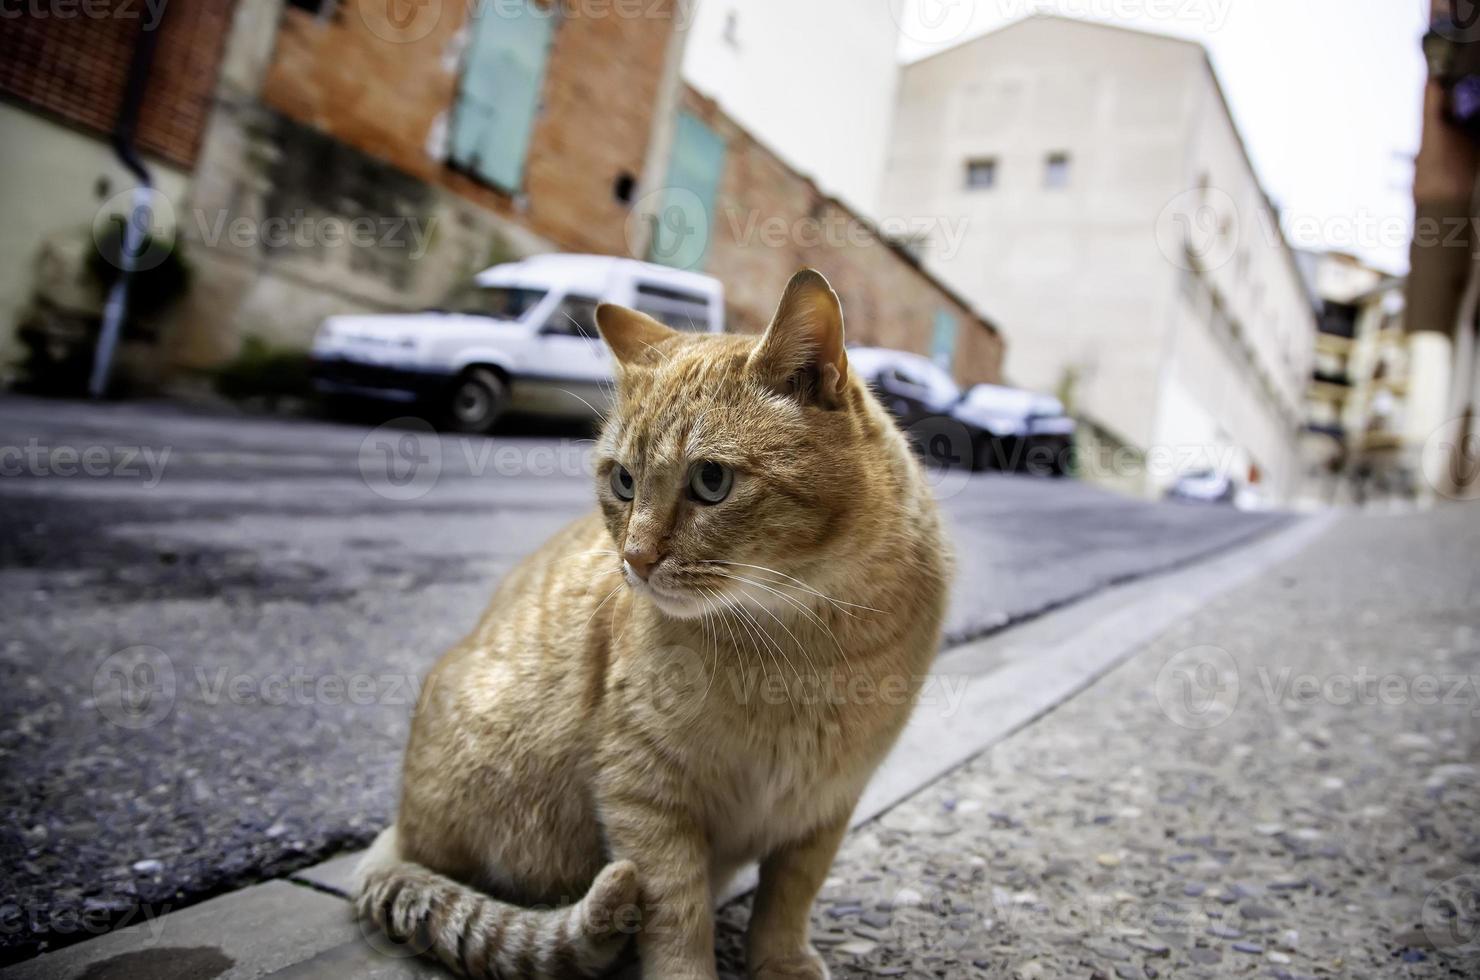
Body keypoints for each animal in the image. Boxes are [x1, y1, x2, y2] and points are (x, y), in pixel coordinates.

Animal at [355, 270, 947, 980]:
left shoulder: (826, 803)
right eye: (623, 481)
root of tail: (398, 825)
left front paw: (781, 962)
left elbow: (789, 895)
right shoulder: (643, 791)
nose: (634, 560)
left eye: (712, 480)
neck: (807, 639)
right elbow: (677, 916)